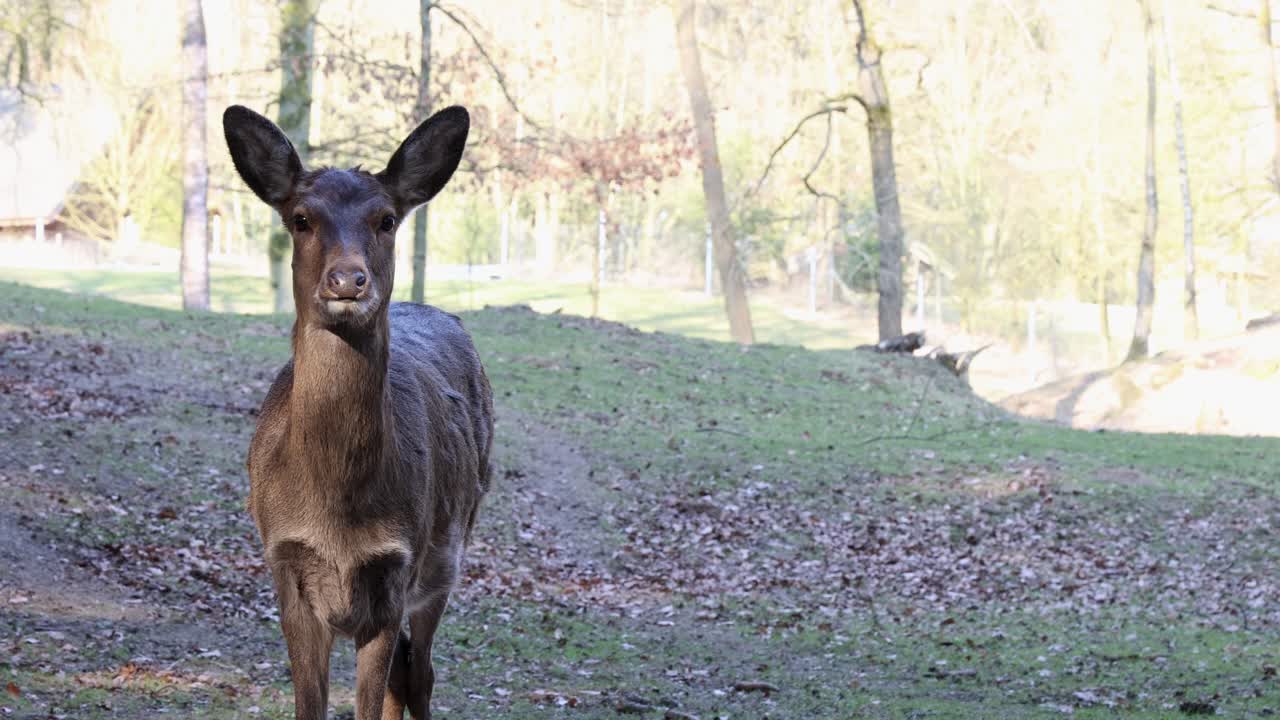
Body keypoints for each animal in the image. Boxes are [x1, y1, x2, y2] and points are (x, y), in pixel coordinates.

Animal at [222, 104, 493, 720]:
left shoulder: (396, 569)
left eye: (386, 219)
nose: (348, 279)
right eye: (300, 218)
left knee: (420, 671)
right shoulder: (285, 566)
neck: (338, 512)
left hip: (448, 554)